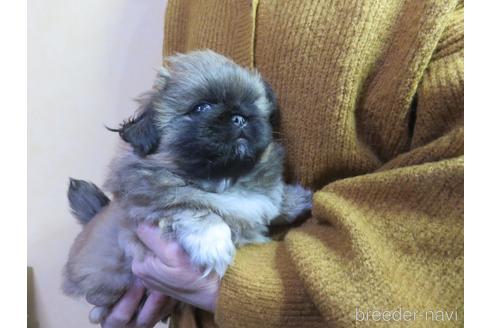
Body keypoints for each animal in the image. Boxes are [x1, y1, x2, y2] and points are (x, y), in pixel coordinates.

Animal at [62, 50, 312, 324]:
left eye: (252, 104)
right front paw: (213, 244)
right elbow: (194, 208)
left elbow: (271, 199)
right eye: (201, 108)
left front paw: (297, 199)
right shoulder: (152, 203)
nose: (239, 117)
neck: (223, 181)